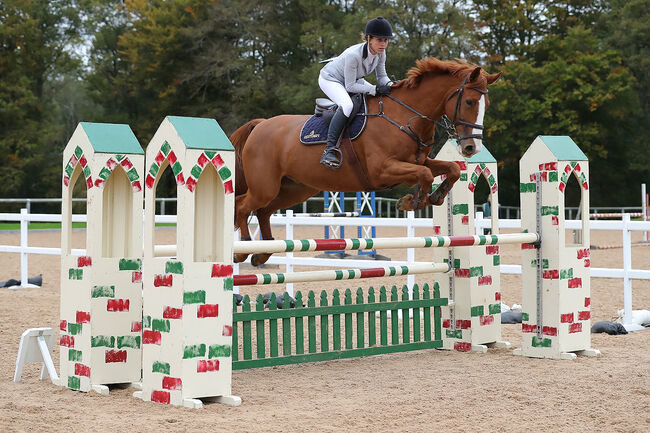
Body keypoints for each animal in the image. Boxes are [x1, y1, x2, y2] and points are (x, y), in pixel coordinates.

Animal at [233, 57, 502, 264]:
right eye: (469, 101)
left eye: (486, 104)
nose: (472, 147)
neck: (404, 116)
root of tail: (260, 125)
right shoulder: (382, 170)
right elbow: (425, 175)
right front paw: (411, 201)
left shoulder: (418, 161)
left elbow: (450, 169)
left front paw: (432, 197)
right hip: (266, 187)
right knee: (242, 205)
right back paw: (242, 249)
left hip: (294, 189)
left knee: (263, 210)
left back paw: (262, 252)